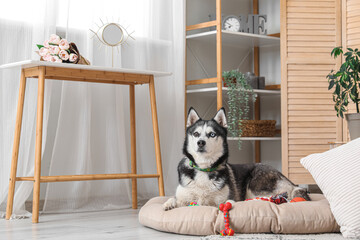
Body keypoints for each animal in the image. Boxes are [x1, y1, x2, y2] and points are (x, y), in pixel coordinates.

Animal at [163, 107, 310, 210]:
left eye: (212, 134)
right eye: (196, 134)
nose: (200, 142)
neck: (204, 169)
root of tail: (290, 182)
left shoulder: (226, 198)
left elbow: (227, 202)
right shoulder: (184, 196)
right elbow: (174, 199)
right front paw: (169, 203)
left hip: (255, 185)